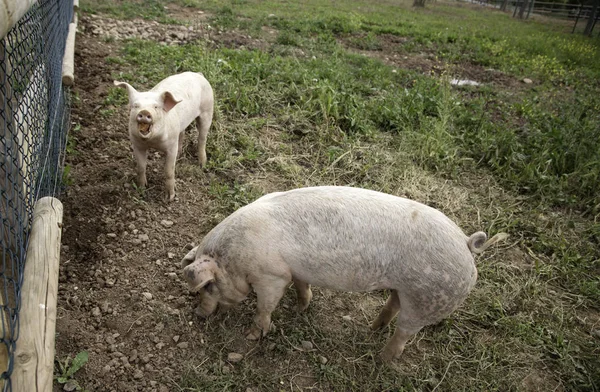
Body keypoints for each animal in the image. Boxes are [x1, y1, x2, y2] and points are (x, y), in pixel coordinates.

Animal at [113, 72, 214, 202]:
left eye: (156, 107)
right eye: (135, 106)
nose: (144, 112)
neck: (153, 141)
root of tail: (198, 74)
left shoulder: (171, 146)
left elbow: (169, 171)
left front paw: (169, 198)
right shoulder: (137, 144)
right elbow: (141, 167)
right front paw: (142, 189)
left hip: (208, 110)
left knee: (202, 138)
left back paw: (202, 165)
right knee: (182, 134)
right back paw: (179, 156)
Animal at [179, 187, 506, 362]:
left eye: (208, 287)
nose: (198, 314)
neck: (235, 258)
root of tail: (466, 243)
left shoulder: (272, 275)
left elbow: (265, 307)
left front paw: (251, 335)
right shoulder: (294, 270)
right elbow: (302, 285)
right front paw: (301, 308)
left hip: (428, 299)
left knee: (404, 332)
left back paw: (382, 360)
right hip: (405, 289)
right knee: (392, 305)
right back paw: (373, 329)